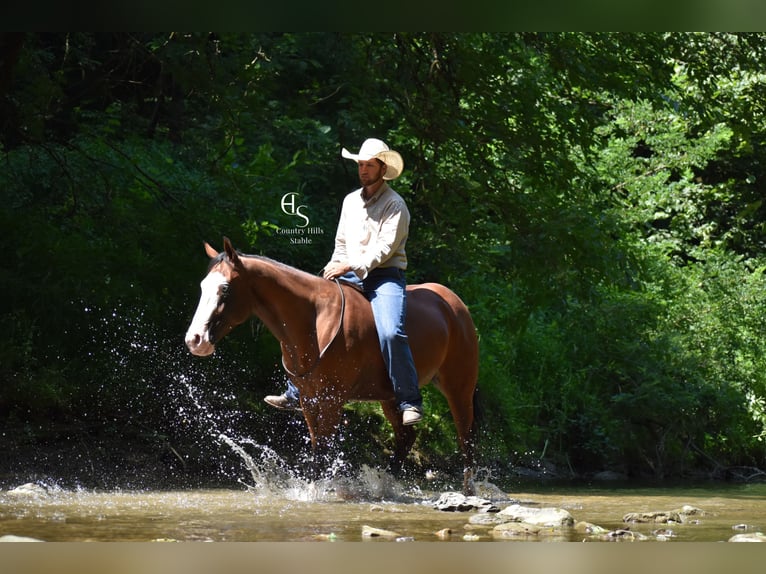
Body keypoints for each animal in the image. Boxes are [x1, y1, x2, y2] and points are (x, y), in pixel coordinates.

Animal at [184, 237, 480, 495]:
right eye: (202, 286)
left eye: (225, 289)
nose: (195, 340)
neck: (315, 320)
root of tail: (454, 305)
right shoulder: (309, 399)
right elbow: (318, 446)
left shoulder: (332, 400)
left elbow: (325, 449)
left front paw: (315, 493)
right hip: (389, 397)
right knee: (406, 438)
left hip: (459, 390)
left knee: (466, 438)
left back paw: (468, 490)